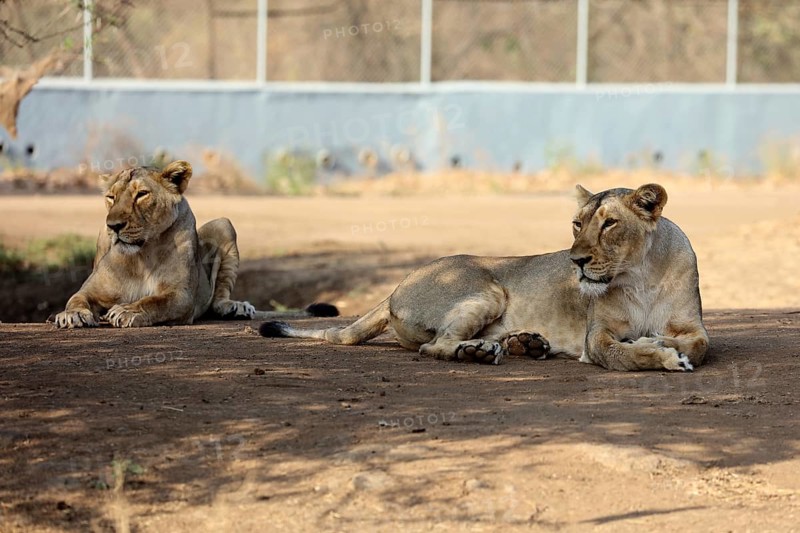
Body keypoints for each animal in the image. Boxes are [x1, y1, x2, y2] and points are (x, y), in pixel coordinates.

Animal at [53, 160, 337, 328]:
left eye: (142, 194)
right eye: (111, 197)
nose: (113, 225)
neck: (141, 255)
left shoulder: (181, 296)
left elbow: (154, 302)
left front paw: (126, 311)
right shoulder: (91, 290)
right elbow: (76, 298)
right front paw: (72, 315)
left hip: (224, 225)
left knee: (217, 299)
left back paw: (235, 308)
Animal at [259, 183, 708, 372]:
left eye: (610, 223)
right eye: (577, 224)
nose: (576, 260)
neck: (640, 276)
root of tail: (395, 286)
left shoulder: (694, 326)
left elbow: (699, 345)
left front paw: (662, 344)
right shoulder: (595, 336)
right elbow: (620, 354)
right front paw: (659, 355)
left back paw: (525, 344)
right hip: (486, 291)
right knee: (436, 346)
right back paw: (477, 352)